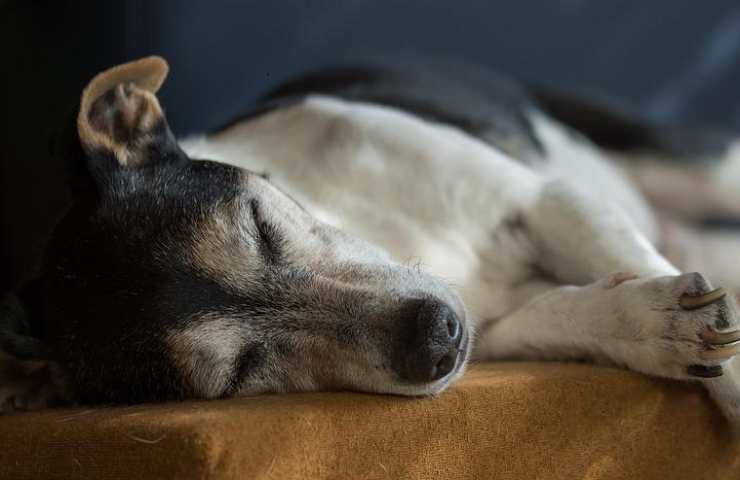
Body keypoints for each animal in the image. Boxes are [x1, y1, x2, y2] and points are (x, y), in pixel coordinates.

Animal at [4, 56, 740, 428]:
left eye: (258, 224)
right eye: (239, 373)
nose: (437, 336)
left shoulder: (547, 202)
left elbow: (614, 251)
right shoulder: (497, 332)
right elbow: (571, 314)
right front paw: (657, 327)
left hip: (697, 165)